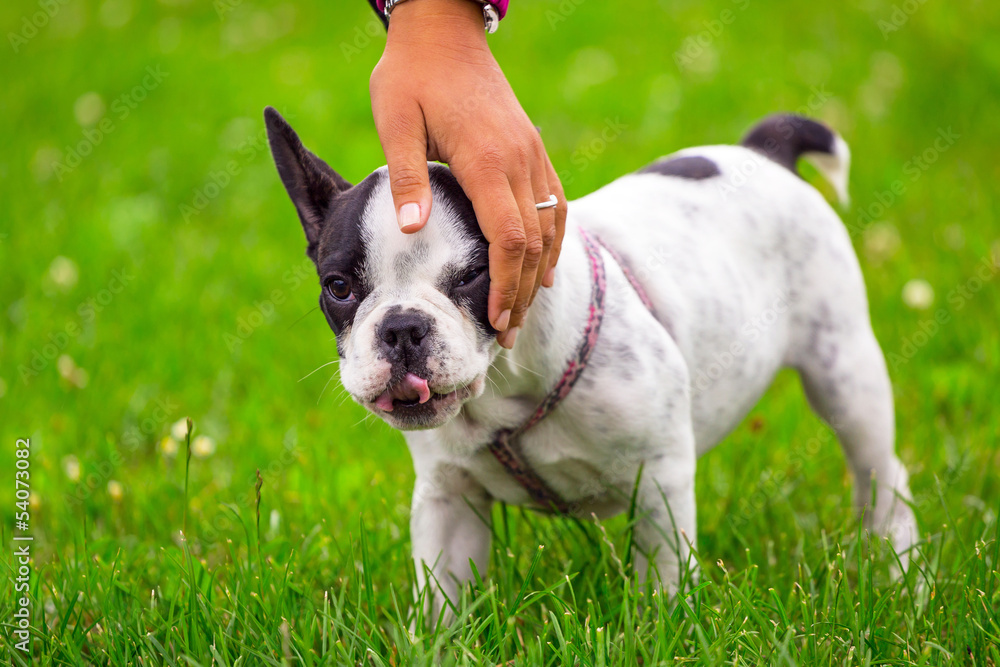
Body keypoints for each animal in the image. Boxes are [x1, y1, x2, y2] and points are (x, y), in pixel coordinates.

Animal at [264, 107, 916, 612]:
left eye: (475, 275)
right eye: (339, 288)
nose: (402, 327)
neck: (503, 392)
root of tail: (764, 151)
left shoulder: (660, 483)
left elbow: (664, 584)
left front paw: (662, 632)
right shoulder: (448, 499)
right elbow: (443, 605)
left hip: (844, 371)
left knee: (882, 477)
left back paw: (900, 575)